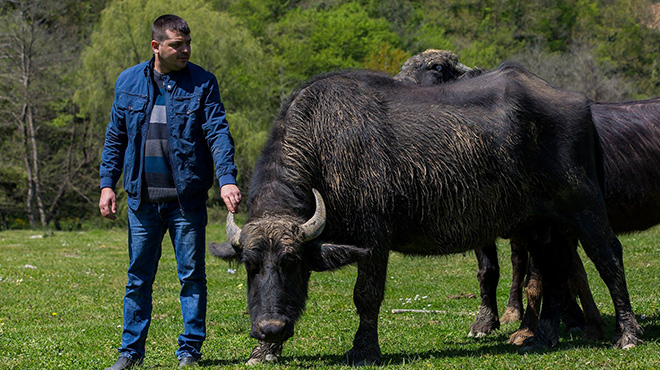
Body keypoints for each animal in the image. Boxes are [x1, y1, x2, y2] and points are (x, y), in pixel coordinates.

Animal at [210, 62, 640, 364]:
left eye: (291, 262)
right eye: (250, 265)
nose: (268, 328)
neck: (326, 145)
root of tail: (579, 103)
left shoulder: (373, 238)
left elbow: (366, 295)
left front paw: (364, 350)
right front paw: (264, 352)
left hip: (584, 204)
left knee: (608, 257)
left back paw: (627, 334)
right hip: (540, 221)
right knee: (552, 267)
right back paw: (540, 338)